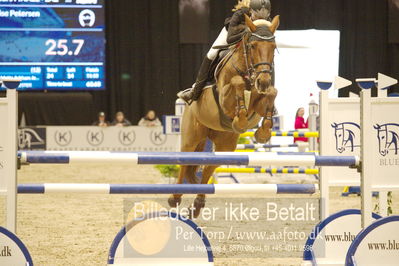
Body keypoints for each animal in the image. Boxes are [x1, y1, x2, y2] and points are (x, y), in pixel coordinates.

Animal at [170, 15, 280, 218]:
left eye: (273, 47)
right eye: (253, 46)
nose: (263, 81)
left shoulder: (259, 104)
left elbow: (271, 93)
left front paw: (262, 133)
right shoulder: (224, 100)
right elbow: (236, 84)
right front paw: (240, 121)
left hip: (224, 144)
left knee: (208, 168)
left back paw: (197, 205)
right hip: (191, 137)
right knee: (185, 162)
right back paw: (174, 197)